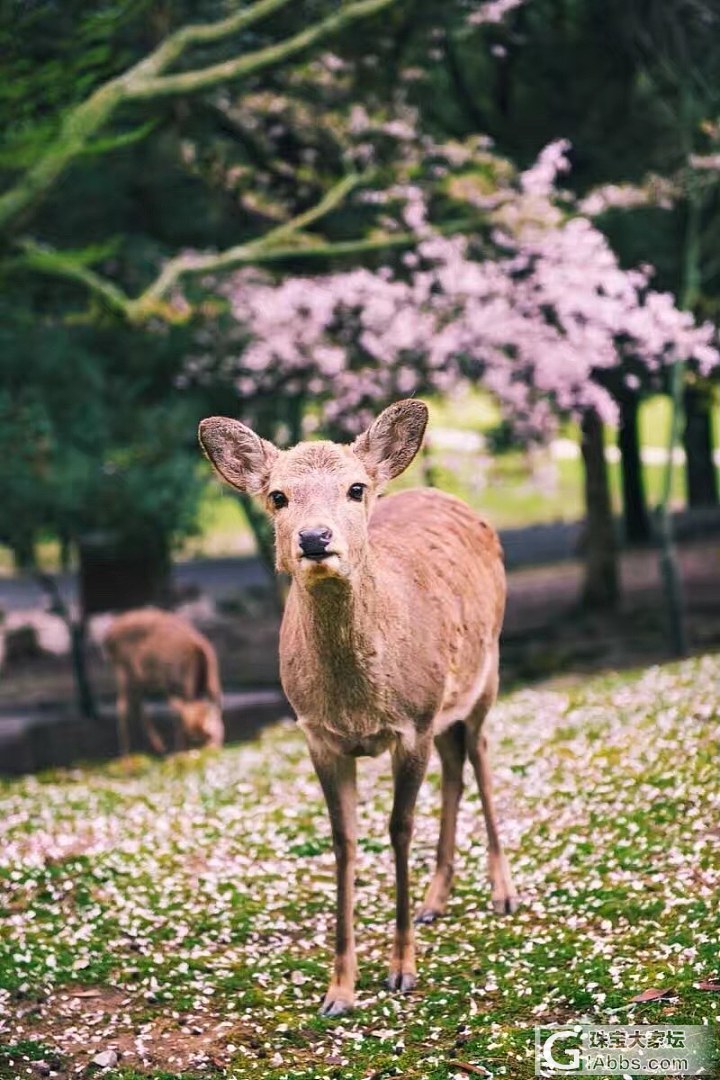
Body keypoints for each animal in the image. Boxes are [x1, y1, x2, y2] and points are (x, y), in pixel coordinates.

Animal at [102, 613, 223, 756]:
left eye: (209, 735)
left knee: (136, 704)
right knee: (122, 706)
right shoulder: (172, 686)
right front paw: (180, 751)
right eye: (195, 737)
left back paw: (157, 747)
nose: (211, 750)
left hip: (137, 679)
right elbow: (177, 717)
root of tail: (107, 637)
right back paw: (126, 754)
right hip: (123, 671)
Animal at [197, 397, 518, 1010]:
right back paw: (436, 900)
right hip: (446, 705)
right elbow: (344, 842)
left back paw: (503, 892)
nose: (315, 538)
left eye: (355, 488)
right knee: (456, 764)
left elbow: (398, 828)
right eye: (277, 495)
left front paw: (402, 970)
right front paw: (339, 989)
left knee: (482, 755)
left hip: (487, 668)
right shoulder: (317, 735)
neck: (357, 704)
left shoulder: (412, 723)